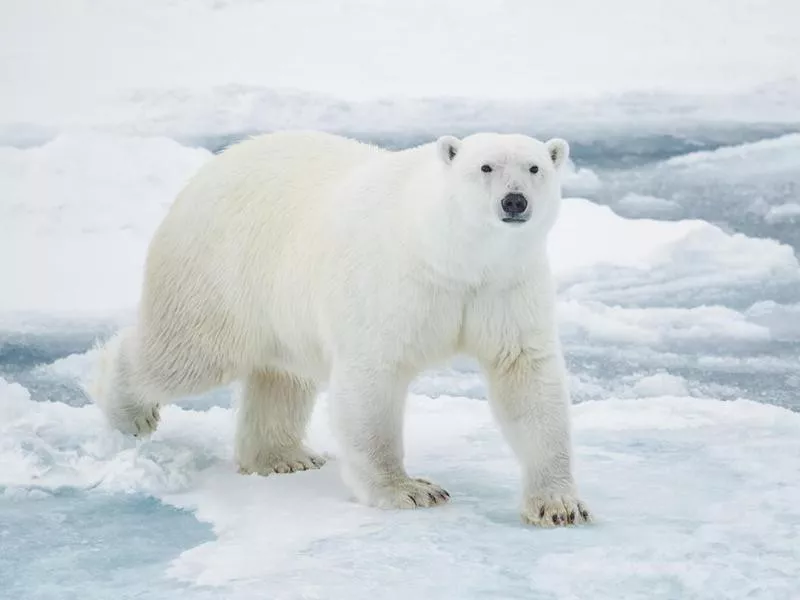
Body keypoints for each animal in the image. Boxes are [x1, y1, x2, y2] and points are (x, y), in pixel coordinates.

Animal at [90, 130, 592, 524]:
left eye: (534, 167)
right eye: (485, 166)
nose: (514, 201)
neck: (452, 254)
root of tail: (205, 173)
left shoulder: (504, 287)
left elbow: (526, 376)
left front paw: (559, 505)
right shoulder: (395, 283)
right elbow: (373, 380)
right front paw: (410, 490)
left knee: (280, 376)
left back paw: (284, 457)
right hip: (219, 274)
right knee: (185, 354)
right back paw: (130, 413)